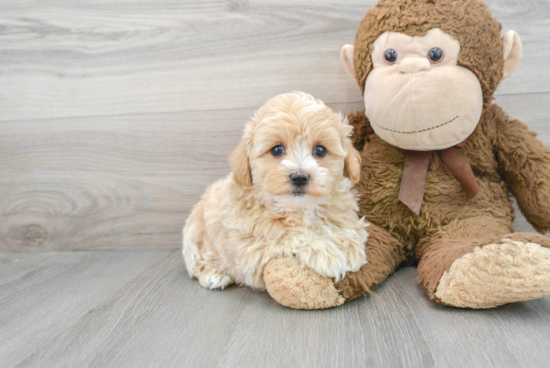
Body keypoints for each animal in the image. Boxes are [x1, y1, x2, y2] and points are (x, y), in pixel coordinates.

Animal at [183, 91, 368, 290]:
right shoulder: (252, 247)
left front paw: (349, 243)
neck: (300, 209)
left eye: (320, 150)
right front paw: (328, 252)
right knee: (197, 263)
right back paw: (214, 274)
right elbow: (290, 235)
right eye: (277, 150)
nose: (299, 177)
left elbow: (353, 228)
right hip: (193, 237)